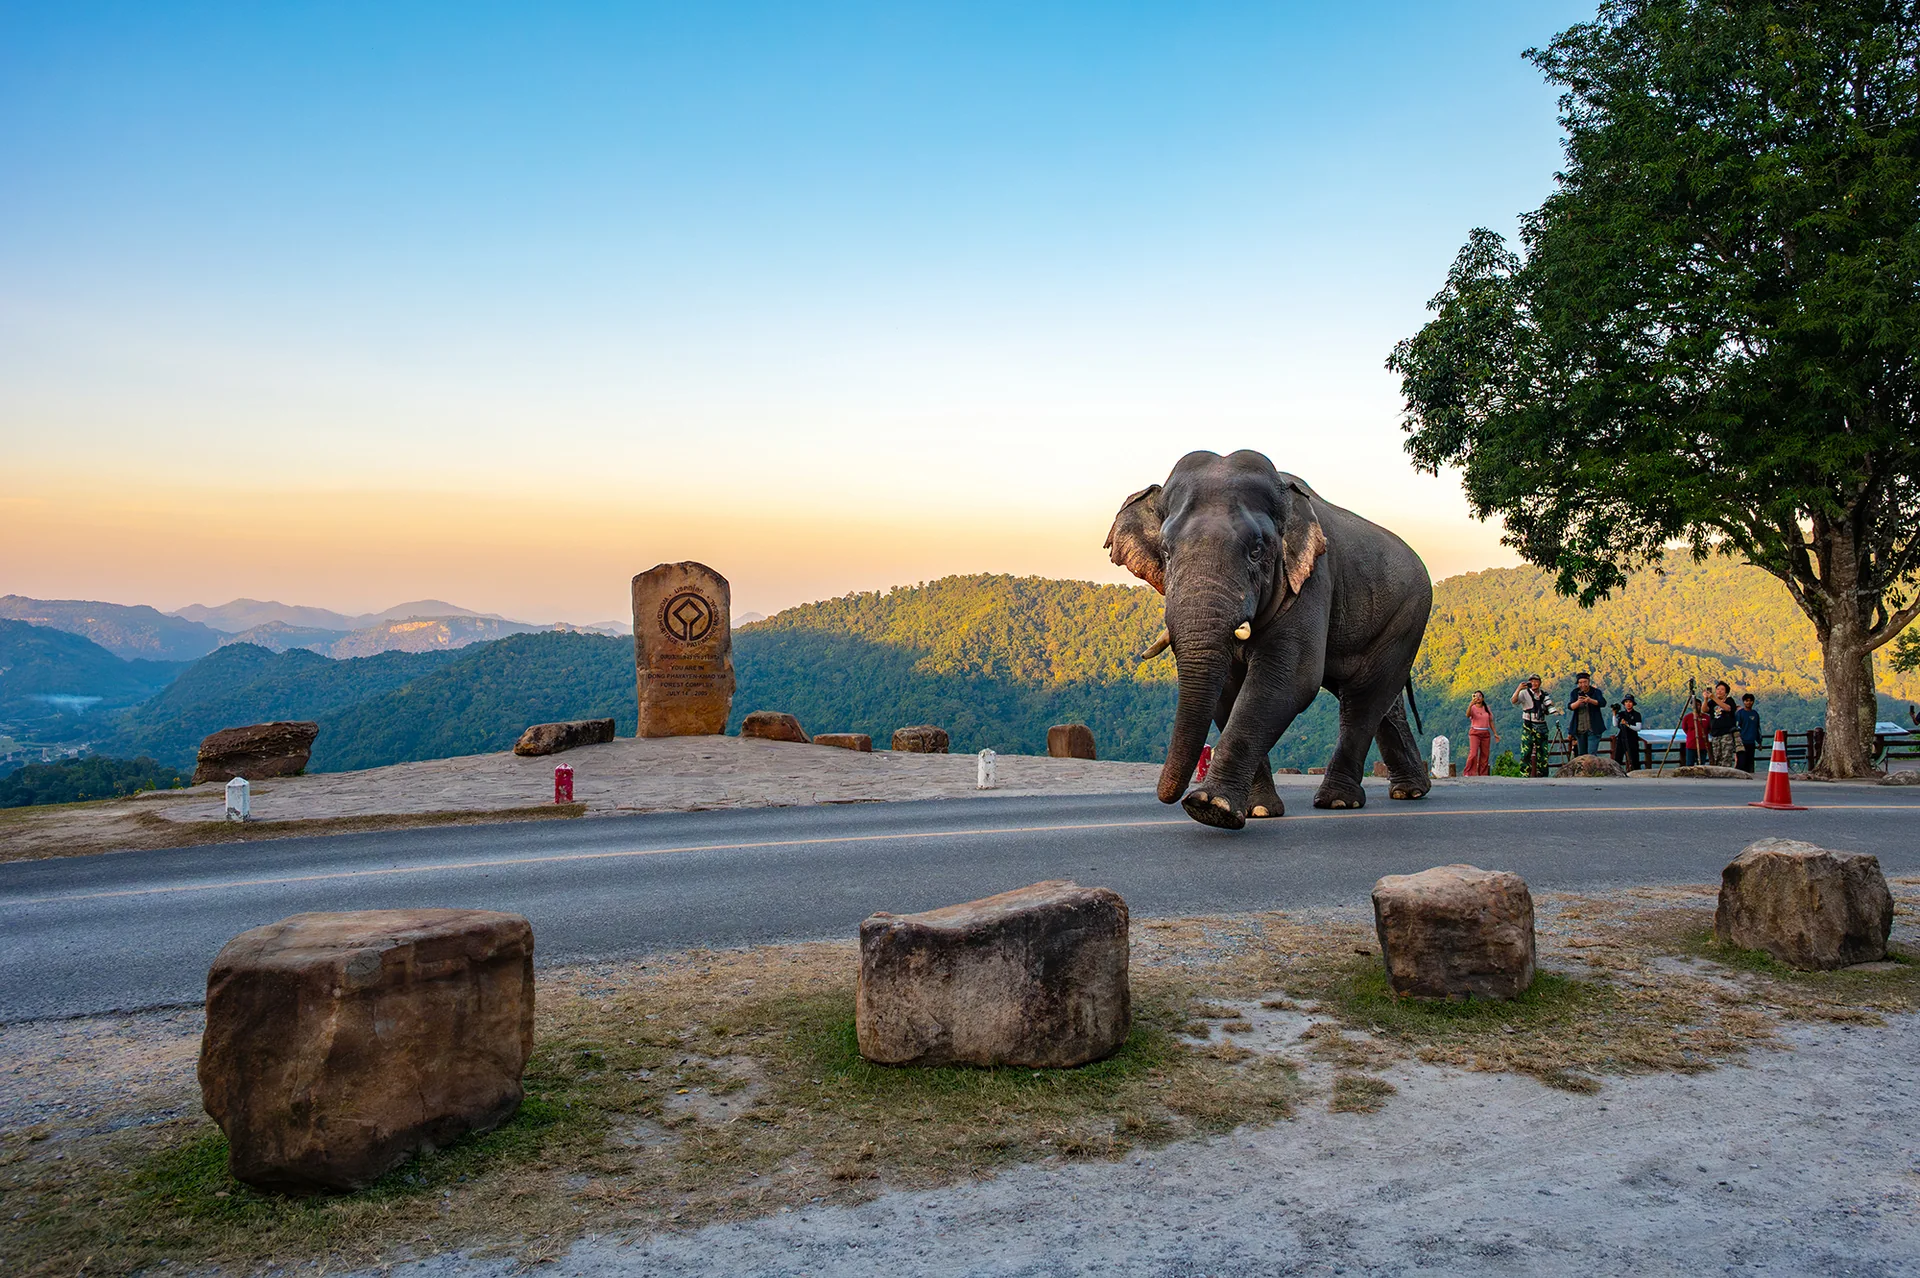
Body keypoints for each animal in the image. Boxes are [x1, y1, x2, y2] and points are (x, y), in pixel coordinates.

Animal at [1105, 449, 1433, 829]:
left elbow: (1289, 678)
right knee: (1381, 699)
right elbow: (1228, 689)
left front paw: (1209, 807)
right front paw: (1255, 810)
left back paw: (1338, 801)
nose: (1169, 796)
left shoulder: (1312, 579)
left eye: (1257, 551)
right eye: (1167, 553)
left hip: (1409, 616)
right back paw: (1410, 792)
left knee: (1364, 697)